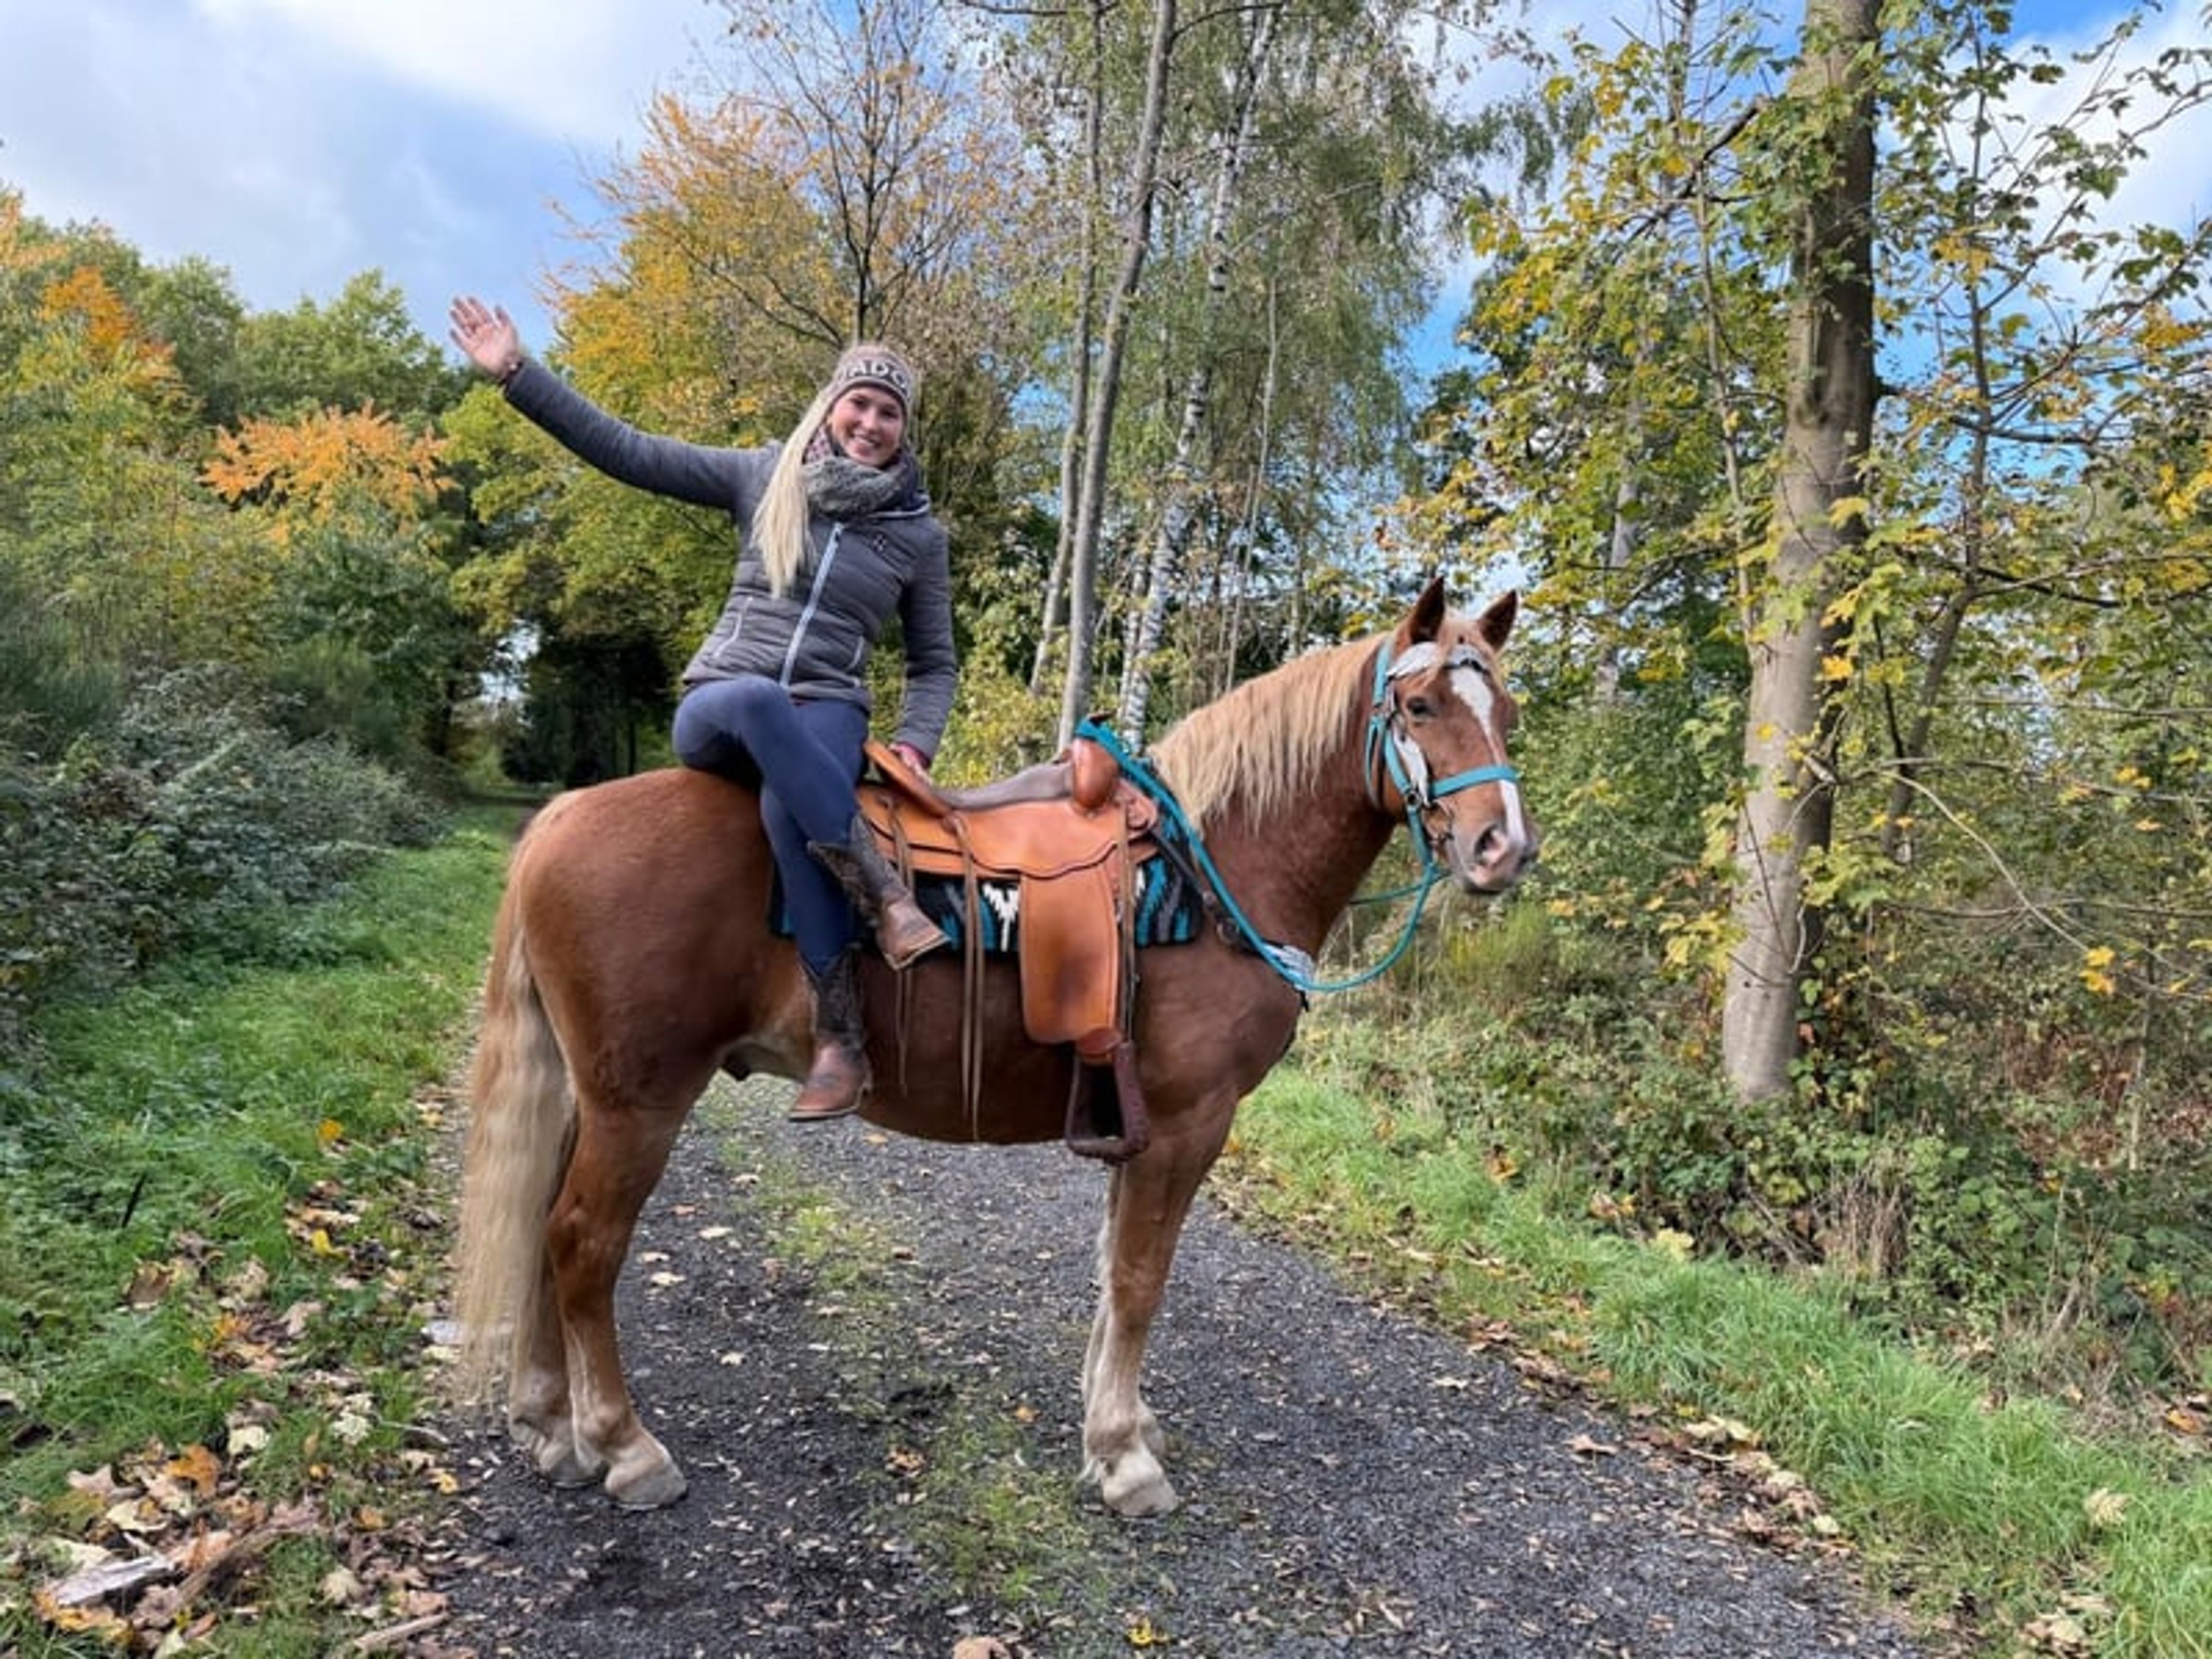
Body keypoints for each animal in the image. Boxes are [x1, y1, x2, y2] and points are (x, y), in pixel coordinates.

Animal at [452, 578, 1536, 1517]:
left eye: (1509, 712)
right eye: (1423, 704)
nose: (1504, 849)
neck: (1213, 868)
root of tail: (561, 818)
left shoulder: (1138, 1124)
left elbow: (1114, 1270)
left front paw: (1115, 1423)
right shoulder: (1190, 1123)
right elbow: (1140, 1279)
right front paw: (1125, 1459)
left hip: (592, 1099)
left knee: (544, 1229)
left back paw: (550, 1425)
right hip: (640, 1104)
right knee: (583, 1242)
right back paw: (623, 1445)